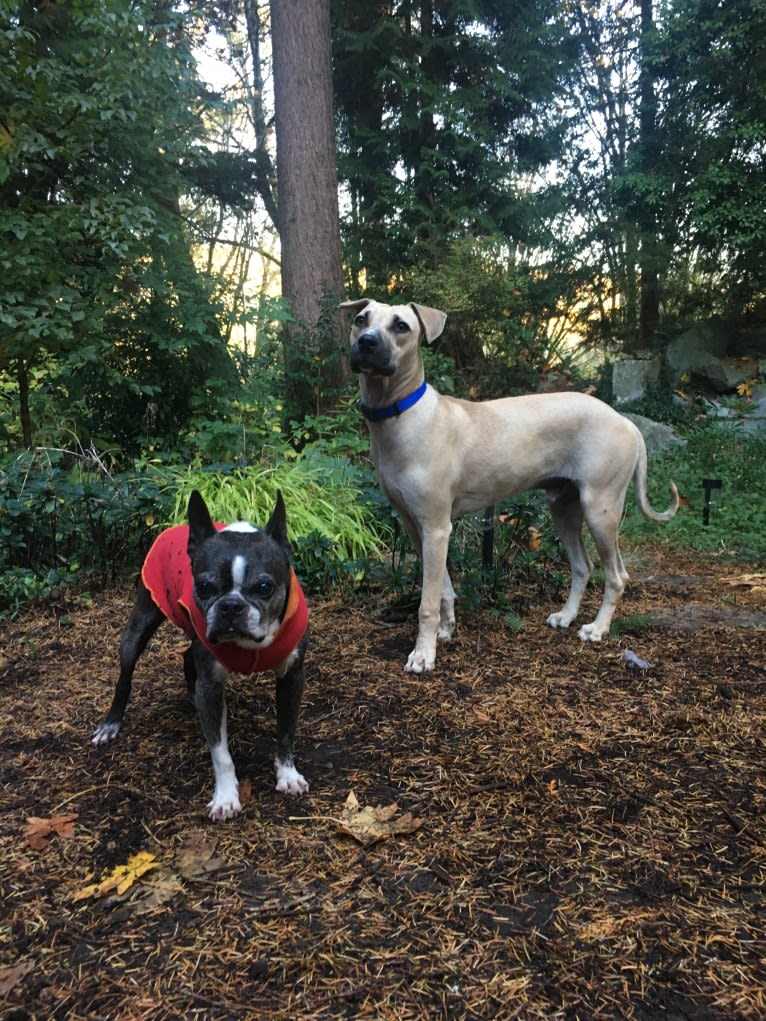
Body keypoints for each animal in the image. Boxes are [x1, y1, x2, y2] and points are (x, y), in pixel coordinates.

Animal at [93, 488, 312, 820]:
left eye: (264, 587)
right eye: (205, 586)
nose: (231, 606)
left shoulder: (292, 676)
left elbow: (286, 730)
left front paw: (287, 775)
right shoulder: (210, 684)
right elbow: (220, 753)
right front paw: (225, 798)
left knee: (187, 657)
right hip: (139, 624)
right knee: (125, 676)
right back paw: (111, 723)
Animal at [339, 298, 682, 673]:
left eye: (401, 325)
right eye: (361, 319)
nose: (366, 343)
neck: (402, 415)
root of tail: (625, 421)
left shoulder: (436, 528)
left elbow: (426, 601)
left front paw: (423, 653)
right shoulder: (417, 529)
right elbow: (443, 587)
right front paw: (446, 629)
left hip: (601, 511)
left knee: (617, 576)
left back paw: (597, 629)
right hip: (564, 509)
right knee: (582, 566)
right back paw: (566, 617)